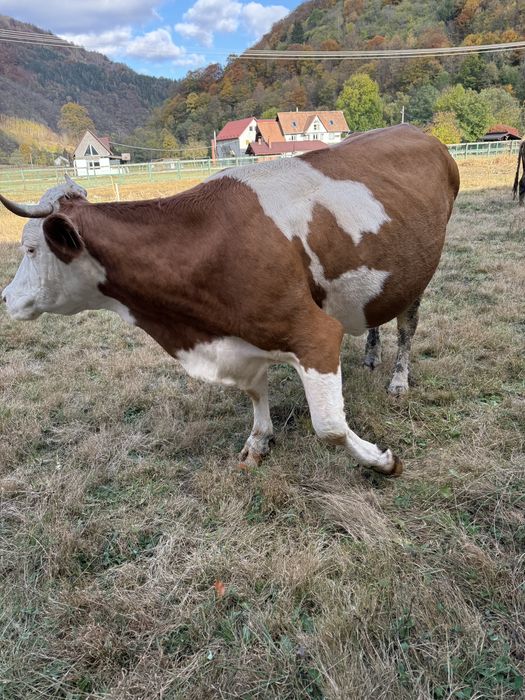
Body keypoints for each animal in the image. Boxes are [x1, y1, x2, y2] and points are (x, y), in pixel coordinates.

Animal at [1, 124, 459, 477]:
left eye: (30, 249)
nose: (6, 297)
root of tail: (420, 133)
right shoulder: (239, 338)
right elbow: (255, 392)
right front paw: (259, 441)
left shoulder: (314, 334)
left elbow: (329, 426)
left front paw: (382, 461)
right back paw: (370, 353)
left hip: (418, 271)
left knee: (408, 326)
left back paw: (398, 380)